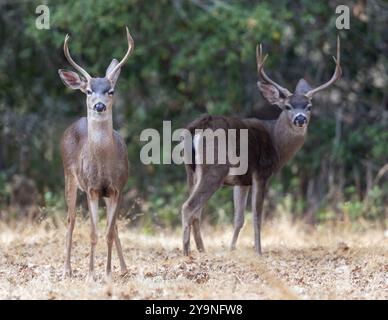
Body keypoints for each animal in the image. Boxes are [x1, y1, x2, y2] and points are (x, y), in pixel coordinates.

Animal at [57, 27, 133, 280]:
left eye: (111, 90)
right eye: (89, 90)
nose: (99, 105)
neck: (102, 164)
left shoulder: (117, 187)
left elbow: (109, 232)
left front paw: (108, 272)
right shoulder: (91, 188)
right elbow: (92, 232)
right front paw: (91, 274)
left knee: (114, 227)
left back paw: (124, 268)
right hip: (69, 176)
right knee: (70, 219)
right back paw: (67, 269)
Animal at [180, 36, 342, 256]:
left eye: (309, 106)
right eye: (287, 106)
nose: (300, 119)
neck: (276, 142)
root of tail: (198, 126)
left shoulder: (242, 181)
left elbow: (238, 218)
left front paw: (232, 249)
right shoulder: (262, 173)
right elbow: (257, 216)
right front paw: (259, 251)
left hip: (191, 170)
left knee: (197, 210)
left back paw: (201, 249)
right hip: (215, 167)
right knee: (189, 207)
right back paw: (187, 251)